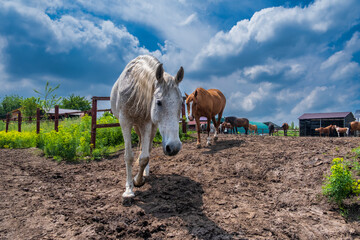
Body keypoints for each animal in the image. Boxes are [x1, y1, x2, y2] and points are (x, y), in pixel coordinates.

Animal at [109, 55, 183, 198]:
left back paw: (145, 173)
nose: (174, 147)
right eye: (159, 102)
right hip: (136, 126)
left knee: (147, 148)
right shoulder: (125, 122)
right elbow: (129, 156)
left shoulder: (147, 123)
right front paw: (129, 190)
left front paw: (138, 181)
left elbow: (144, 157)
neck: (135, 88)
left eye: (181, 103)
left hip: (151, 127)